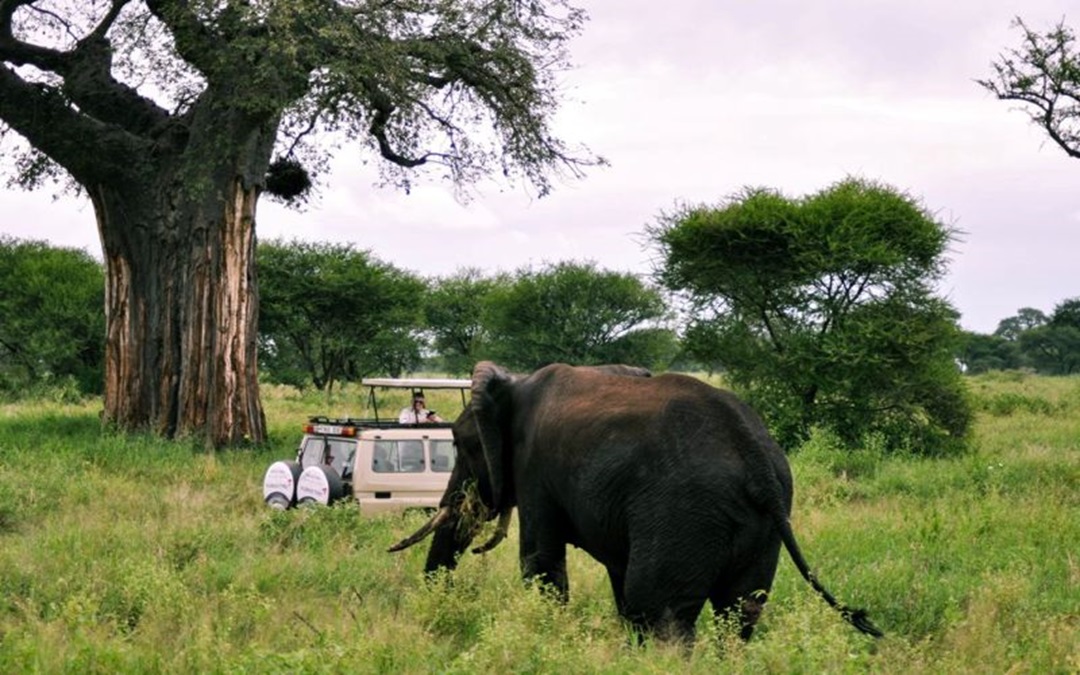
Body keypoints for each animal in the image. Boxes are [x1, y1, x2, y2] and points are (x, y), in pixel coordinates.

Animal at [393, 362, 881, 643]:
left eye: (461, 445)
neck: (515, 385)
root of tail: (755, 456)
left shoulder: (537, 472)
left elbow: (541, 564)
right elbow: (616, 573)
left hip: (685, 510)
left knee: (660, 612)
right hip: (757, 522)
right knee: (739, 612)